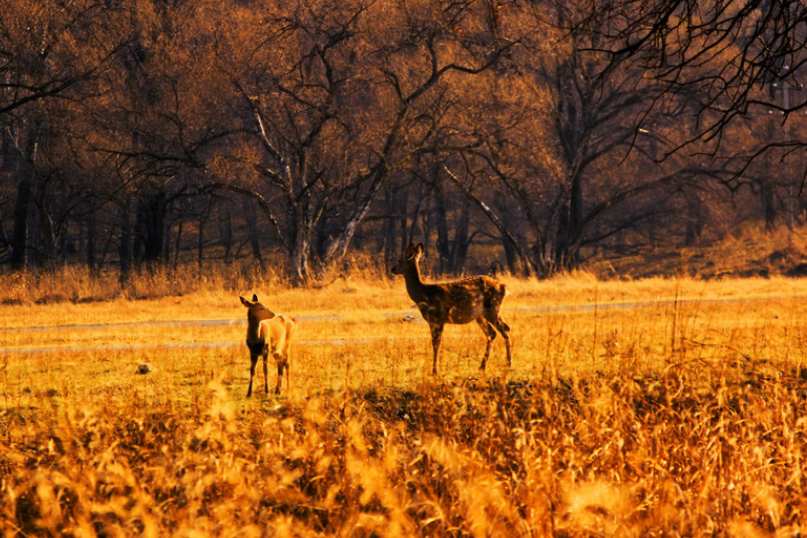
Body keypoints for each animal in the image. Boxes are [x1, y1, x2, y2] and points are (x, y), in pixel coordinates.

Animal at [390, 243, 512, 372]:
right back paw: (482, 366)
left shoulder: (439, 317)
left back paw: (509, 363)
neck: (423, 295)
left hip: (492, 307)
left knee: (505, 328)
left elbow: (436, 343)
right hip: (480, 315)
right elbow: (434, 342)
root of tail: (504, 287)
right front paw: (434, 369)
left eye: (400, 260)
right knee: (492, 333)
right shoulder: (432, 320)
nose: (393, 269)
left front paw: (435, 370)